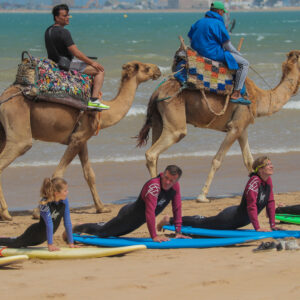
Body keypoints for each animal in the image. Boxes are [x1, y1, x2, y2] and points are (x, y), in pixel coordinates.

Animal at [0, 61, 162, 220]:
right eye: (146, 67)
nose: (158, 70)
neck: (105, 113)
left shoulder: (82, 139)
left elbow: (89, 174)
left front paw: (102, 208)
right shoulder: (78, 138)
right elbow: (58, 173)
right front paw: (38, 211)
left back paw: (5, 214)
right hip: (19, 129)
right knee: (20, 146)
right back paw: (6, 213)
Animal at [138, 50, 300, 203]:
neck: (259, 99)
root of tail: (156, 92)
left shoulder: (242, 128)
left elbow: (249, 160)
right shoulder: (235, 127)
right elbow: (217, 160)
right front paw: (202, 196)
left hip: (158, 121)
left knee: (155, 153)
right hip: (173, 118)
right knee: (154, 151)